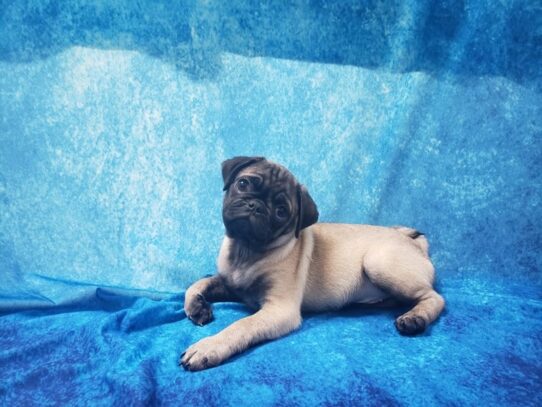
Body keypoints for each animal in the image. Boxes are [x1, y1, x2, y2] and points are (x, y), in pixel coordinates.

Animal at [181, 157, 448, 372]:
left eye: (281, 212)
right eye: (243, 184)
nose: (255, 205)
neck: (246, 252)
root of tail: (414, 244)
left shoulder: (279, 310)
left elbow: (242, 325)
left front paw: (208, 347)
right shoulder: (231, 285)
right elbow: (198, 284)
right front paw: (197, 307)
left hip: (378, 262)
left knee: (435, 298)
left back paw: (415, 318)